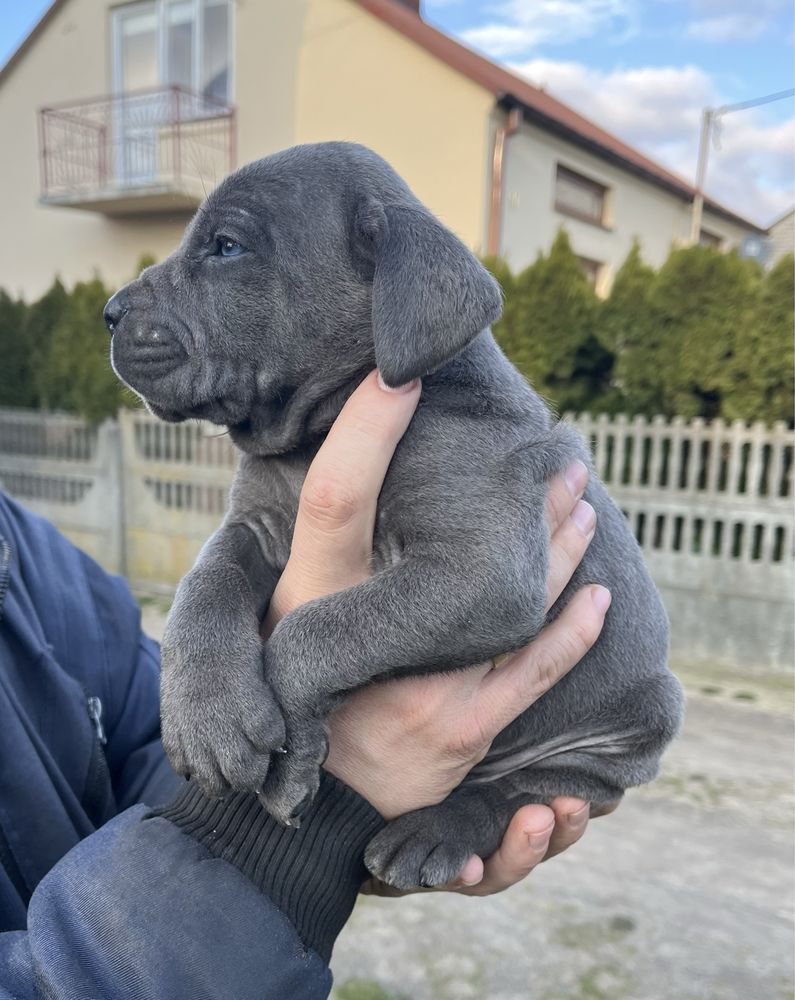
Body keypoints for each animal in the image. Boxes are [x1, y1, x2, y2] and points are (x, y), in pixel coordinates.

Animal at [105, 143, 684, 892]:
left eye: (227, 247)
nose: (108, 312)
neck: (313, 440)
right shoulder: (253, 525)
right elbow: (203, 585)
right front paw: (206, 713)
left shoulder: (482, 571)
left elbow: (315, 629)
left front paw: (290, 761)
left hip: (632, 720)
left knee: (532, 787)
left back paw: (435, 831)